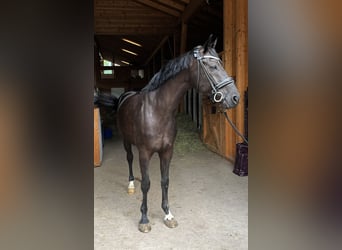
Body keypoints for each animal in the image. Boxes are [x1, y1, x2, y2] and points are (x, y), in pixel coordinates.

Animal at [116, 34, 239, 232]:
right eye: (212, 66)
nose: (235, 97)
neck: (158, 110)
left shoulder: (167, 151)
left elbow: (165, 181)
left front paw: (168, 215)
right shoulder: (145, 152)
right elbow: (146, 184)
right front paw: (144, 219)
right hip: (127, 141)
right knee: (129, 159)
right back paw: (131, 185)